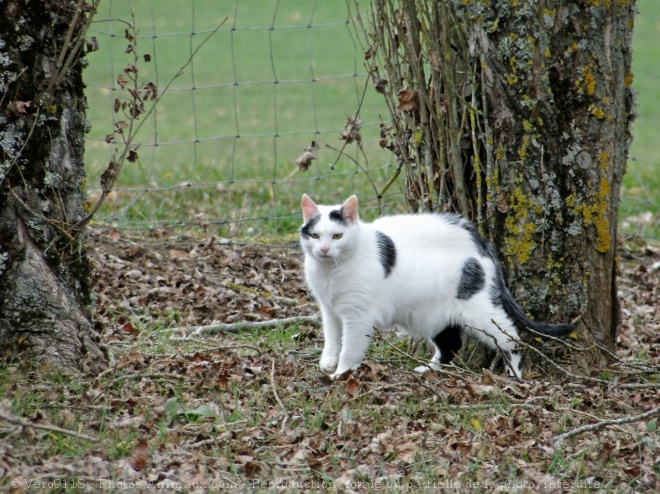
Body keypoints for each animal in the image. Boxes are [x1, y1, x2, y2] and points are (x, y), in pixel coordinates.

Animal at [302, 195, 576, 380]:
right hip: (434, 316)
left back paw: (515, 375)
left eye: (337, 236)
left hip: (479, 312)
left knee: (511, 337)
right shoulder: (330, 310)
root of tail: (478, 240)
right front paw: (327, 362)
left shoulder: (358, 316)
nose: (324, 249)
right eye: (314, 236)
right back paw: (427, 369)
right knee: (451, 346)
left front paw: (340, 374)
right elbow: (331, 337)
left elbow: (349, 348)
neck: (331, 272)